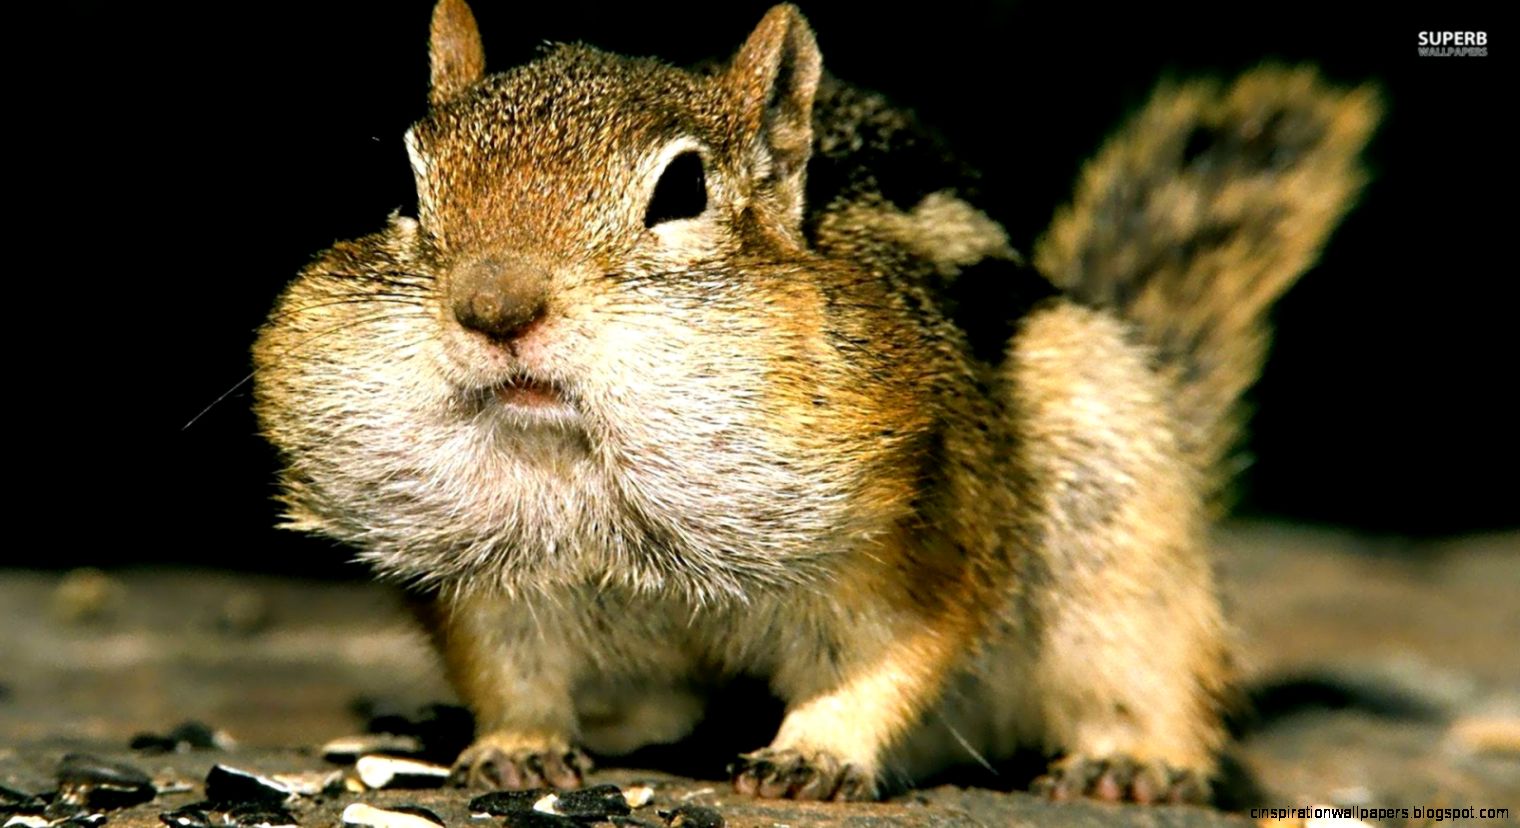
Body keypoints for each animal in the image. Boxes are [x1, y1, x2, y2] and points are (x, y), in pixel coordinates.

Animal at [252, 0, 1379, 804]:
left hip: (1123, 523)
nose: (494, 308)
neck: (581, 458)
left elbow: (891, 653)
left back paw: (1132, 762)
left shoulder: (928, 531)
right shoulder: (486, 580)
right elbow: (507, 665)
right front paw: (515, 746)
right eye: (407, 189)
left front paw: (816, 753)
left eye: (681, 192)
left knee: (1150, 666)